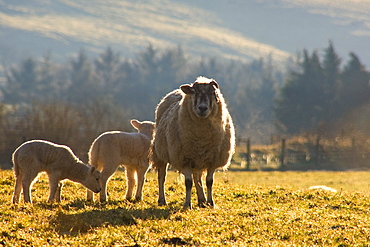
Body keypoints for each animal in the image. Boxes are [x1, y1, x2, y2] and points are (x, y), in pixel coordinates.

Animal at [152, 75, 236, 208]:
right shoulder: (185, 159)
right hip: (161, 153)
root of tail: (177, 91)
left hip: (198, 159)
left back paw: (202, 201)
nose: (202, 108)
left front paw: (211, 203)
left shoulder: (212, 159)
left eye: (213, 93)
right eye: (193, 92)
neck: (201, 138)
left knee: (197, 178)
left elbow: (209, 182)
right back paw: (162, 200)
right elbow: (188, 182)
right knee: (162, 177)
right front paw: (187, 204)